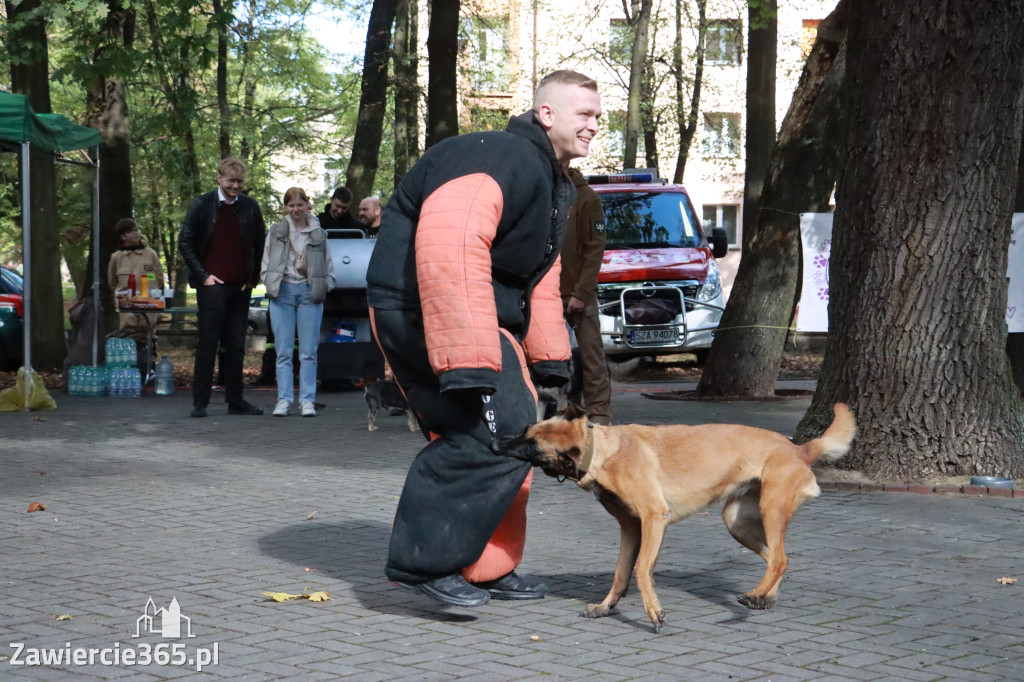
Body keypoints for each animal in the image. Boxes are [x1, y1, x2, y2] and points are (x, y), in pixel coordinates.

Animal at [495, 401, 856, 630]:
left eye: (531, 445)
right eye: (526, 430)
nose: (497, 442)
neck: (604, 452)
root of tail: (800, 448)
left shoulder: (654, 518)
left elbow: (641, 570)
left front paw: (653, 612)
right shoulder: (631, 527)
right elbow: (620, 574)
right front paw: (606, 606)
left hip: (770, 509)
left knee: (779, 559)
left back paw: (755, 594)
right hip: (737, 521)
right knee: (778, 558)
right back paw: (765, 597)